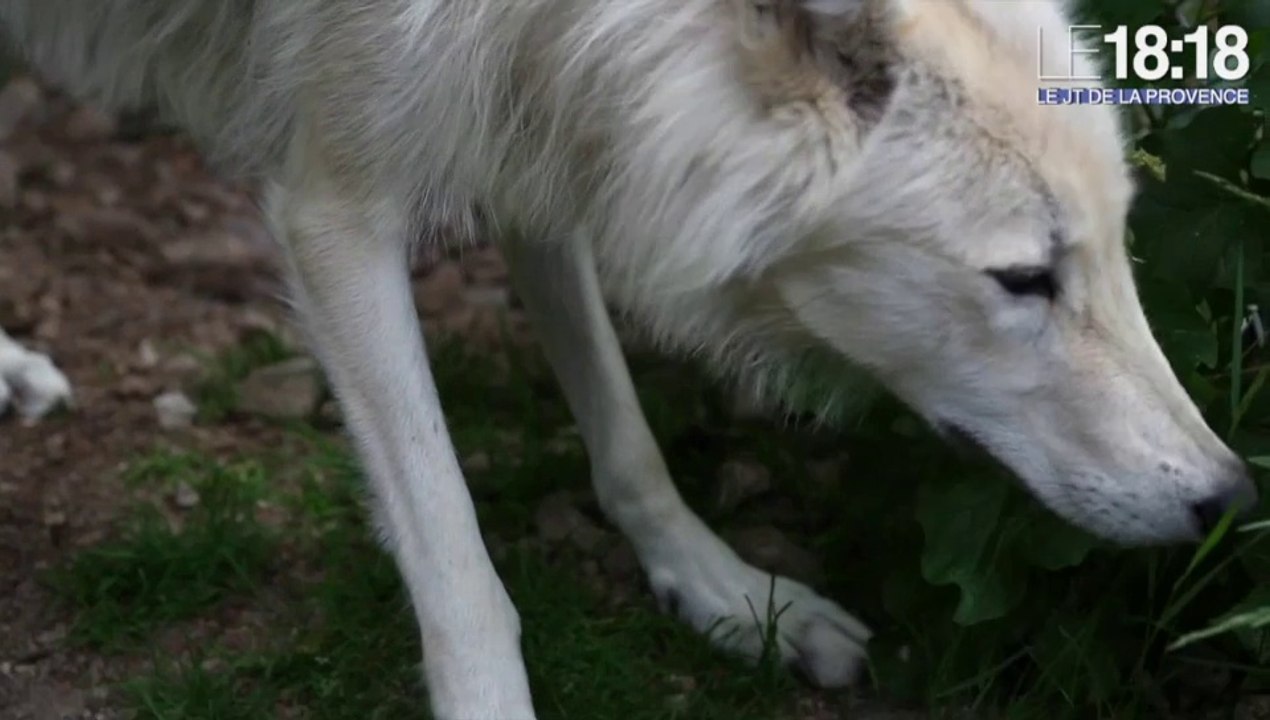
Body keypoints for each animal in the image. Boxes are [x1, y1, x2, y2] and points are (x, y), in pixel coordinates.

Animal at [1, 0, 1259, 717]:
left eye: (1119, 243)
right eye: (1024, 278)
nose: (1229, 498)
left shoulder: (541, 124)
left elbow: (625, 434)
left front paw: (728, 592)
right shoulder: (332, 206)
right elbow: (459, 571)